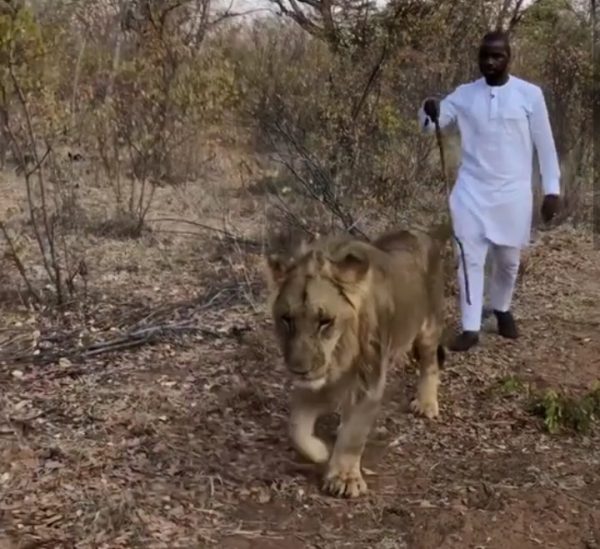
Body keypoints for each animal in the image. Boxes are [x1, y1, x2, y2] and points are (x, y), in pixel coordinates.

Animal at [264, 225, 448, 498]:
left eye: (325, 321)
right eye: (287, 319)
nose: (299, 370)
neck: (339, 354)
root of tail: (419, 233)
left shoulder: (368, 381)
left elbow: (354, 434)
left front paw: (344, 478)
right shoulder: (316, 386)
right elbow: (296, 428)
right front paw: (320, 452)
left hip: (428, 328)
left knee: (430, 364)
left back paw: (426, 404)